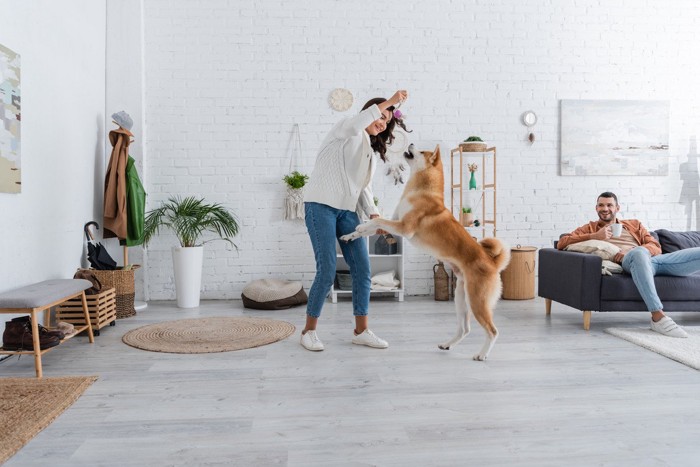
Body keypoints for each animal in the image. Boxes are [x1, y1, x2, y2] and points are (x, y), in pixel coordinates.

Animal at [342, 144, 512, 360]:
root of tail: (492, 263)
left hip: (477, 301)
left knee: (492, 330)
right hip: (461, 297)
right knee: (465, 329)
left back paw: (482, 354)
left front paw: (361, 227)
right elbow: (374, 225)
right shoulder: (394, 223)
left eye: (422, 152)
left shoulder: (404, 227)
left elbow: (377, 220)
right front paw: (351, 234)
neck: (421, 189)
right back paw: (447, 345)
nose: (411, 144)